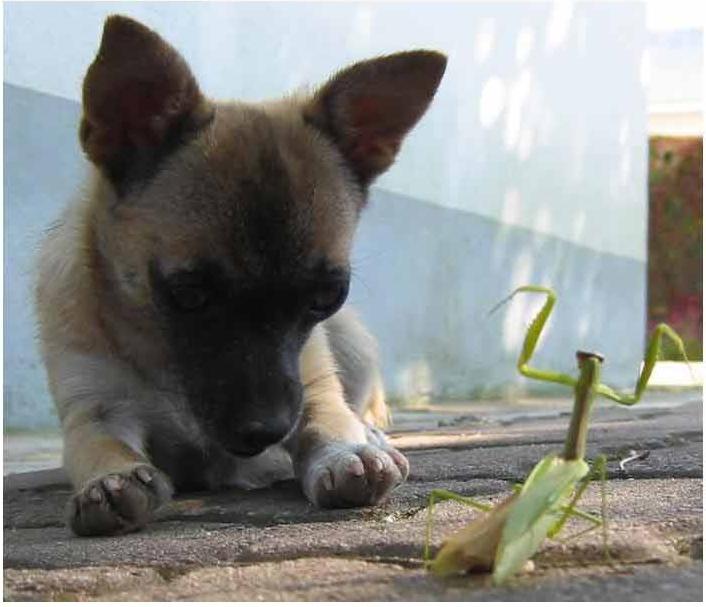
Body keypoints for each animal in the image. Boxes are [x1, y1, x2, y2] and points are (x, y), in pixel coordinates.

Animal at [34, 15, 446, 536]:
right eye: (189, 294)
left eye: (327, 296)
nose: (265, 430)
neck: (161, 356)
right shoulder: (95, 412)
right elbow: (100, 445)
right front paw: (109, 480)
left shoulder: (310, 386)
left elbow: (323, 418)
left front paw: (347, 451)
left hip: (352, 343)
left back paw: (371, 434)